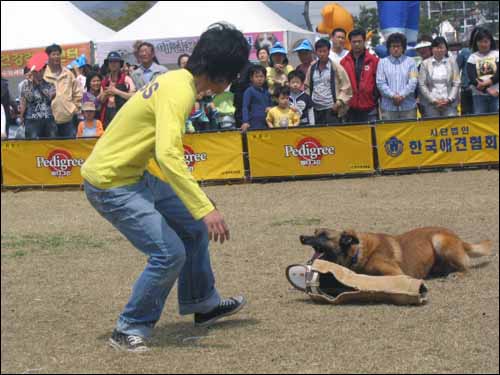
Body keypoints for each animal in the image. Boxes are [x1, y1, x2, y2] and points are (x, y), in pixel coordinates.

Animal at [300, 228, 492, 280]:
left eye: (323, 235)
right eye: (315, 232)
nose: (301, 237)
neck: (359, 252)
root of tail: (458, 238)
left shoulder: (396, 273)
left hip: (439, 240)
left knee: (467, 268)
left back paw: (457, 274)